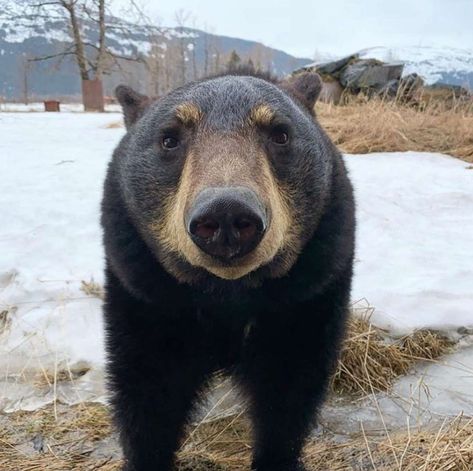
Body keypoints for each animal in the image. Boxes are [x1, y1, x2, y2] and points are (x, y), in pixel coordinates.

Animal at [102, 71, 354, 471]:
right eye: (169, 138)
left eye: (280, 134)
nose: (225, 215)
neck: (227, 293)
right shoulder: (146, 289)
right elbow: (148, 387)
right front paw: (147, 455)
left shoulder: (309, 288)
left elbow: (289, 387)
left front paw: (275, 457)